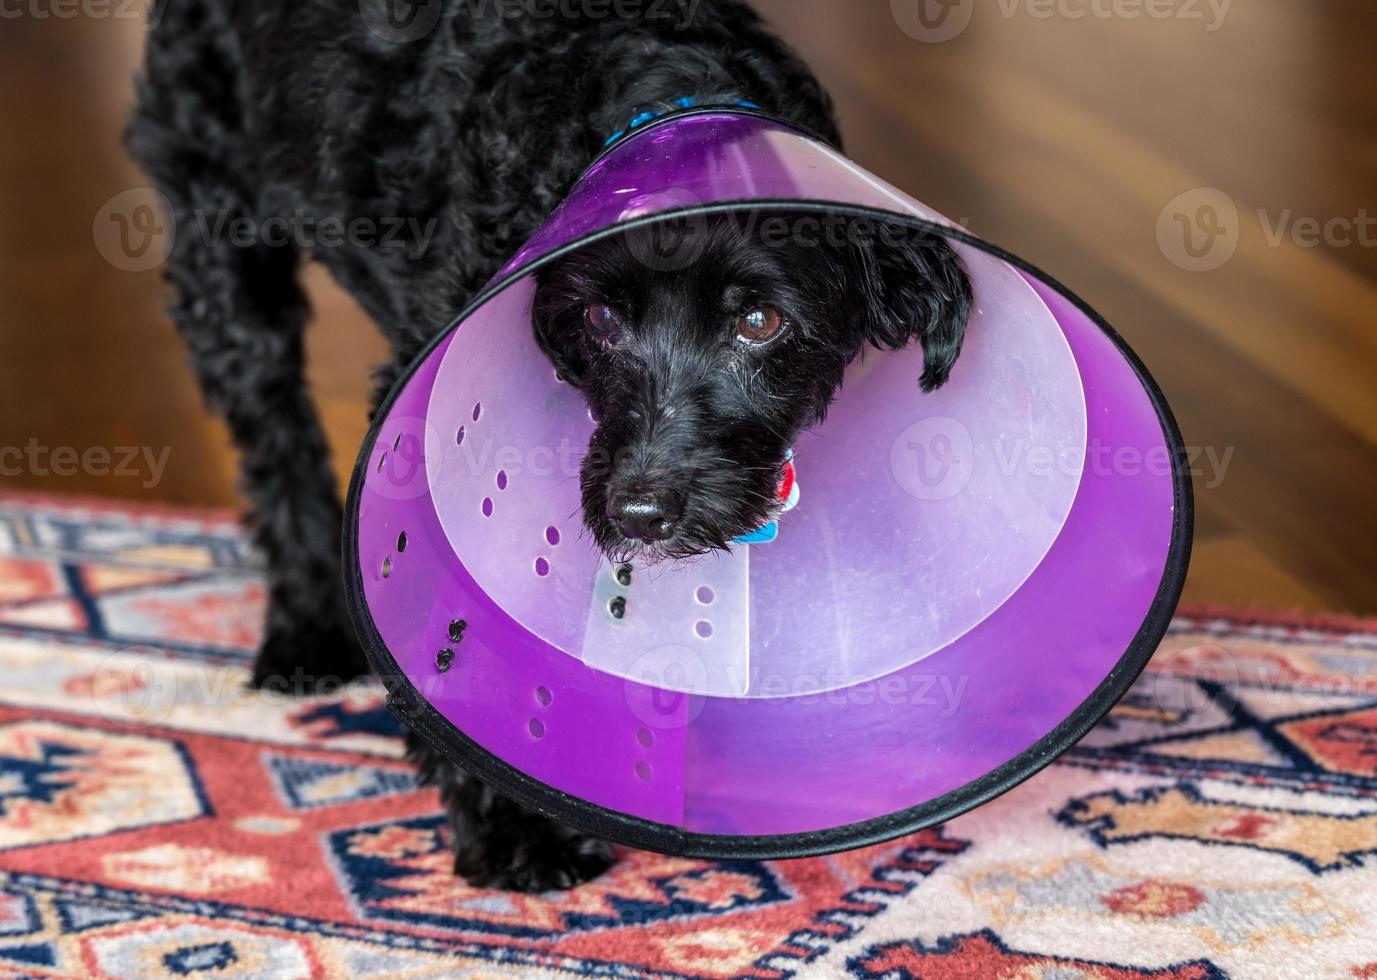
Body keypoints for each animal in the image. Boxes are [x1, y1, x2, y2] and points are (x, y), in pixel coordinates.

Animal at [129, 0, 969, 891]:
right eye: (598, 318)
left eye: (759, 321)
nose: (640, 513)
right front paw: (514, 822)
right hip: (222, 241)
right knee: (275, 438)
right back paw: (307, 625)